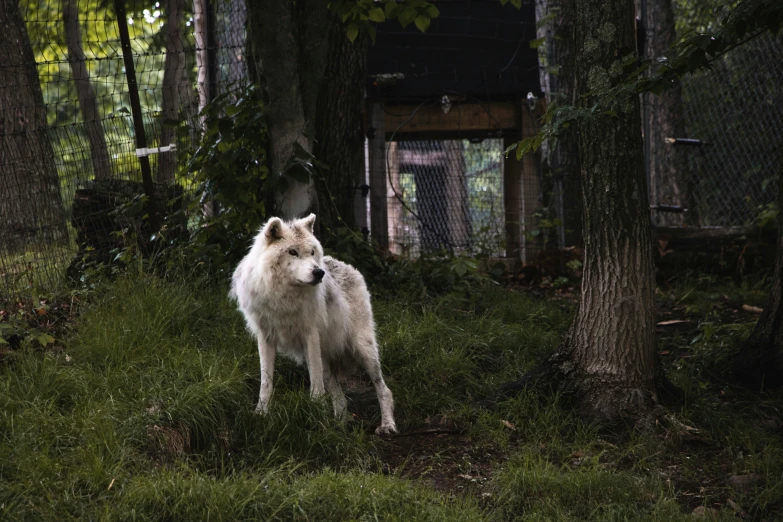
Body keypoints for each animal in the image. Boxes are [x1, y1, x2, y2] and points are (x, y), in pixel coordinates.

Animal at [228, 213, 398, 432]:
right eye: (292, 252)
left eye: (312, 252)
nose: (319, 273)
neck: (284, 297)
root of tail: (345, 264)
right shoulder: (265, 338)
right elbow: (266, 382)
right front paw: (261, 414)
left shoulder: (310, 335)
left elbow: (315, 385)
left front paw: (317, 417)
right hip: (326, 358)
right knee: (340, 397)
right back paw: (341, 423)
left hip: (362, 349)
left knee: (383, 389)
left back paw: (387, 425)